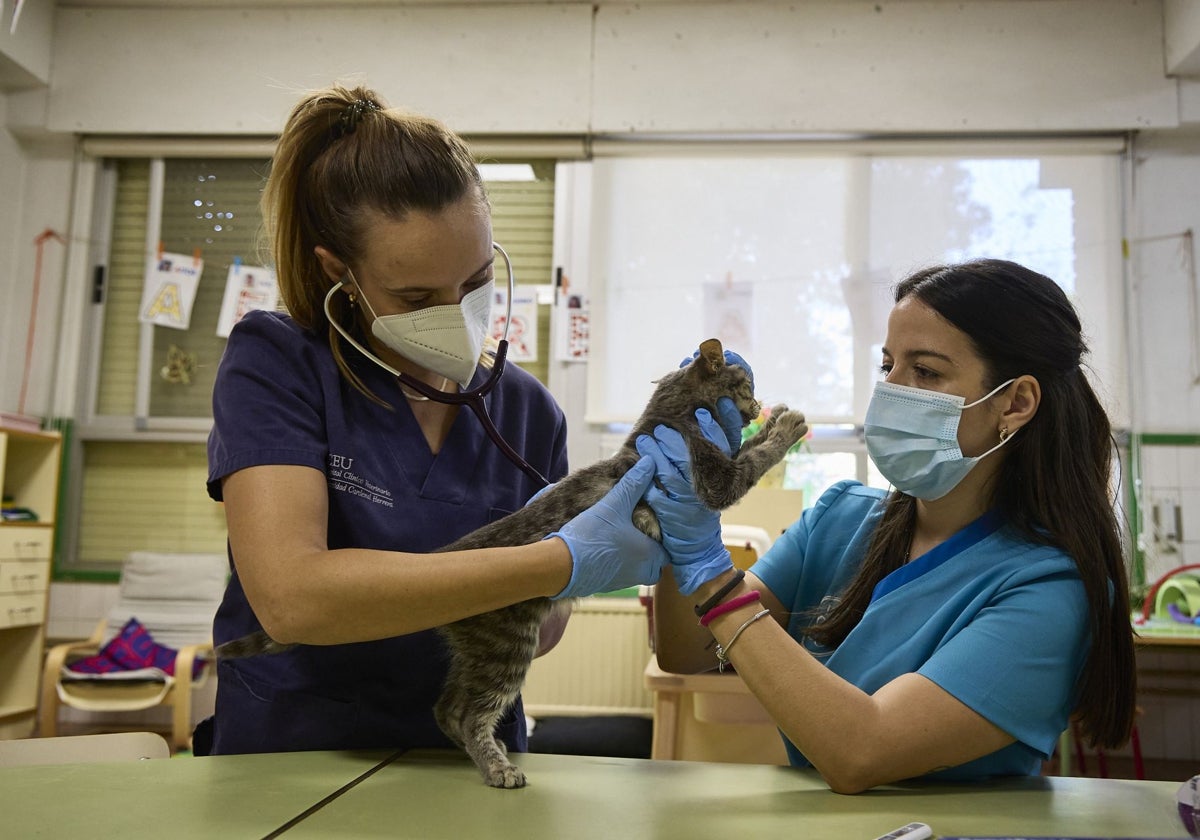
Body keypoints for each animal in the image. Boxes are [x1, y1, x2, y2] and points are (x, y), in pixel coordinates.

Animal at [220, 340, 811, 787]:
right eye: (745, 386)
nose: (756, 404)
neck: (663, 418)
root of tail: (447, 557)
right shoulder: (711, 476)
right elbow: (752, 459)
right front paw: (783, 426)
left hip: (479, 647)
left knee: (446, 706)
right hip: (508, 645)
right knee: (470, 712)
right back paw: (496, 765)